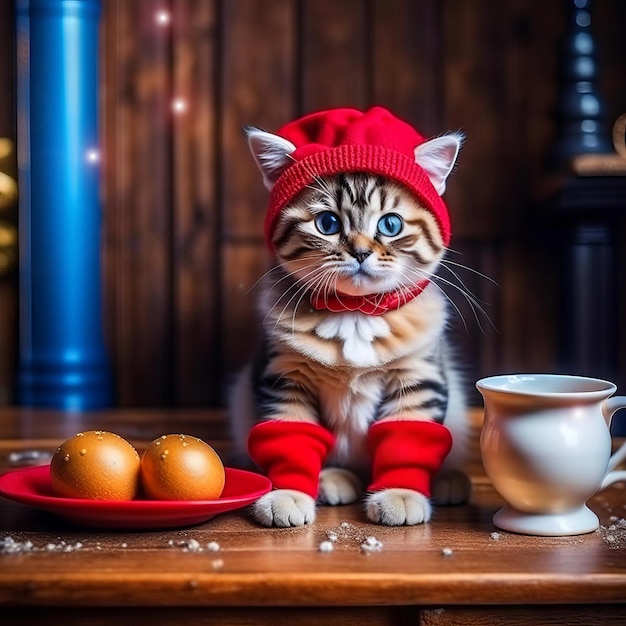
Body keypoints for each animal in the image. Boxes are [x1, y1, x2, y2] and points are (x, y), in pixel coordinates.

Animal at [229, 107, 468, 528]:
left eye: (390, 225)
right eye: (327, 224)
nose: (360, 252)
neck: (354, 313)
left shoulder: (418, 377)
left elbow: (409, 438)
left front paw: (401, 493)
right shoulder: (284, 376)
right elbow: (291, 435)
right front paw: (288, 493)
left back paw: (448, 480)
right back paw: (332, 479)